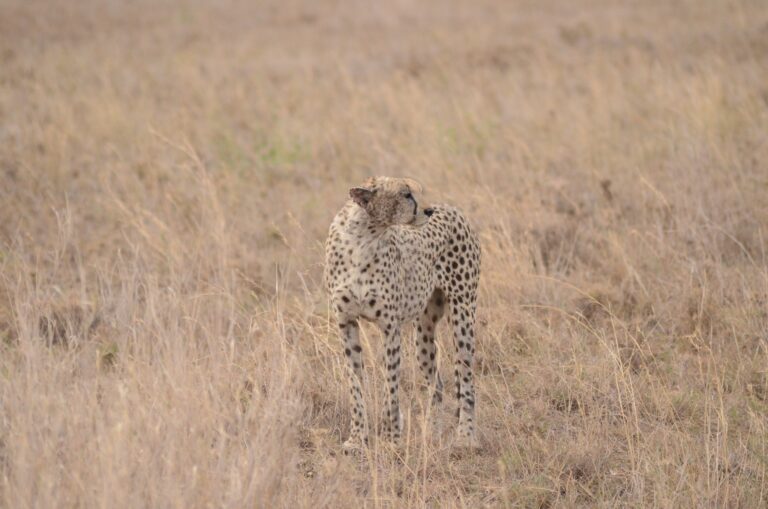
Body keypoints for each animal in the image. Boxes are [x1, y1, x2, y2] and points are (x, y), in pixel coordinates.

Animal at [324, 177, 480, 450]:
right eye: (406, 194)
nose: (429, 211)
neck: (363, 236)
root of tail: (452, 209)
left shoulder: (389, 327)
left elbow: (391, 385)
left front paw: (391, 439)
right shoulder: (346, 323)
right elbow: (355, 383)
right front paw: (357, 439)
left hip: (462, 313)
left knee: (466, 379)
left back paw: (465, 437)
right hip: (424, 333)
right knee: (437, 384)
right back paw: (433, 432)